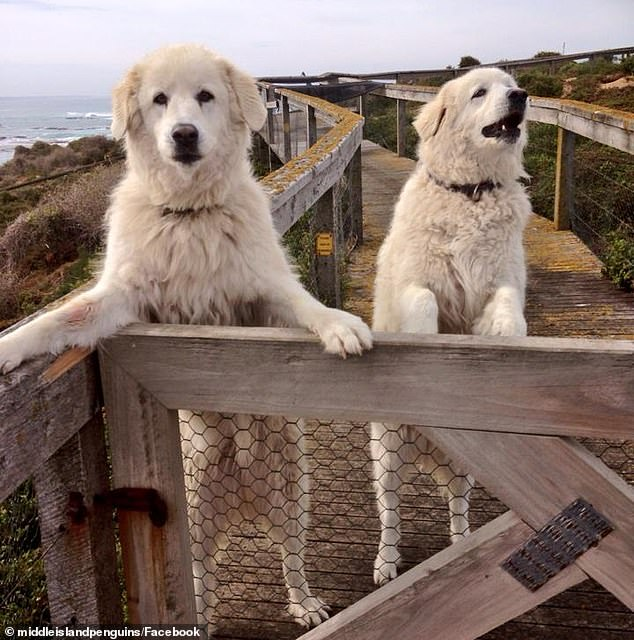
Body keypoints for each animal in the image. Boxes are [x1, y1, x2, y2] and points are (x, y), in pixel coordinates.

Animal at [0, 46, 372, 632]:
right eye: (159, 100)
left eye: (205, 96)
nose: (183, 134)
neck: (190, 213)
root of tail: (242, 494)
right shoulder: (125, 298)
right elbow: (59, 320)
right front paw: (9, 347)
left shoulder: (262, 293)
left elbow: (303, 303)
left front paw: (339, 325)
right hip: (189, 514)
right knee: (202, 579)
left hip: (293, 491)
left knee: (291, 556)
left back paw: (305, 603)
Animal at [368, 69, 532, 584]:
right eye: (480, 93)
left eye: (511, 83)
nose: (521, 96)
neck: (471, 192)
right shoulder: (414, 281)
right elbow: (423, 300)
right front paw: (426, 339)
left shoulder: (501, 279)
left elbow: (508, 303)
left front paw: (508, 335)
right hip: (388, 454)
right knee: (391, 511)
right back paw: (386, 561)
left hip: (466, 468)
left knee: (458, 504)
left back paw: (461, 544)